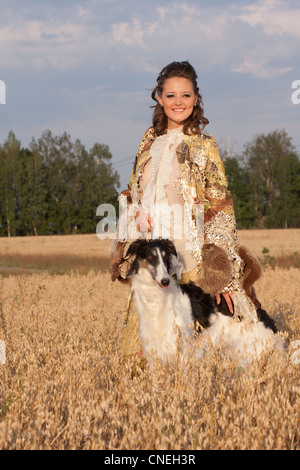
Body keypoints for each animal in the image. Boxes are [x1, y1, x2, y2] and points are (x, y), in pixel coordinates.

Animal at [126, 239, 284, 364]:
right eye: (150, 256)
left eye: (166, 258)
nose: (165, 281)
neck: (157, 305)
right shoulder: (154, 353)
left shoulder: (183, 351)